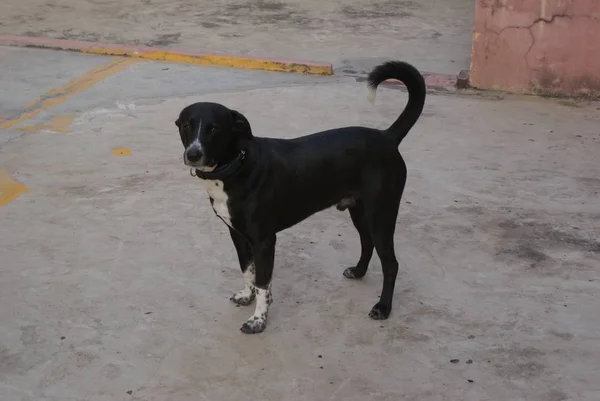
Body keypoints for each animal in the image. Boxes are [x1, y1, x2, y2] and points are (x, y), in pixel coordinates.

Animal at [175, 61, 426, 332]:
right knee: (367, 242)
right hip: (359, 210)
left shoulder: (264, 240)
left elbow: (263, 282)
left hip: (381, 214)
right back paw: (359, 272)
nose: (193, 154)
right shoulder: (237, 234)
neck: (237, 165)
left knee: (391, 264)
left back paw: (383, 307)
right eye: (187, 126)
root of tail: (387, 137)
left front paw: (258, 319)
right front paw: (247, 295)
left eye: (214, 129)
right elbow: (247, 270)